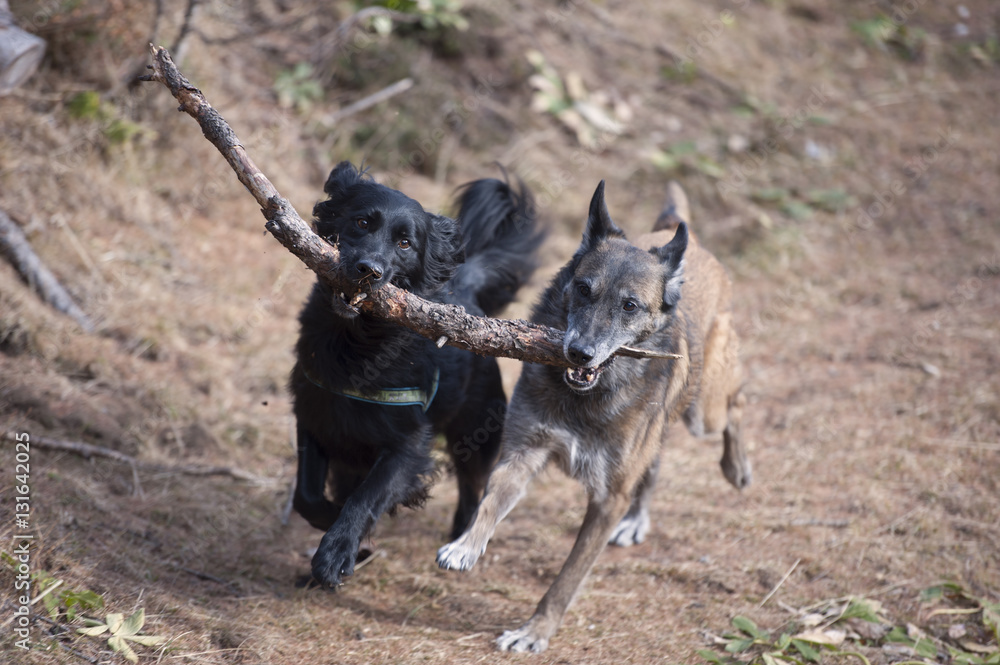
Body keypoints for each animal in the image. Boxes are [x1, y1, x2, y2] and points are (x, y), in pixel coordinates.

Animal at [292, 161, 540, 588]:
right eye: (361, 222)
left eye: (405, 244)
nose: (368, 271)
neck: (358, 344)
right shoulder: (314, 414)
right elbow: (307, 496)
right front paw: (343, 537)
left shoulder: (406, 447)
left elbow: (367, 497)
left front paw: (337, 551)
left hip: (476, 432)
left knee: (474, 490)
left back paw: (459, 540)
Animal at [438, 179, 752, 652]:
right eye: (584, 288)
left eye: (630, 306)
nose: (579, 353)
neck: (586, 399)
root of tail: (684, 237)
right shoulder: (523, 453)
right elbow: (490, 503)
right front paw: (465, 546)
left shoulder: (607, 501)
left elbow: (567, 578)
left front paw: (535, 631)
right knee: (657, 460)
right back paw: (639, 519)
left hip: (703, 411)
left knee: (735, 402)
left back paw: (736, 467)